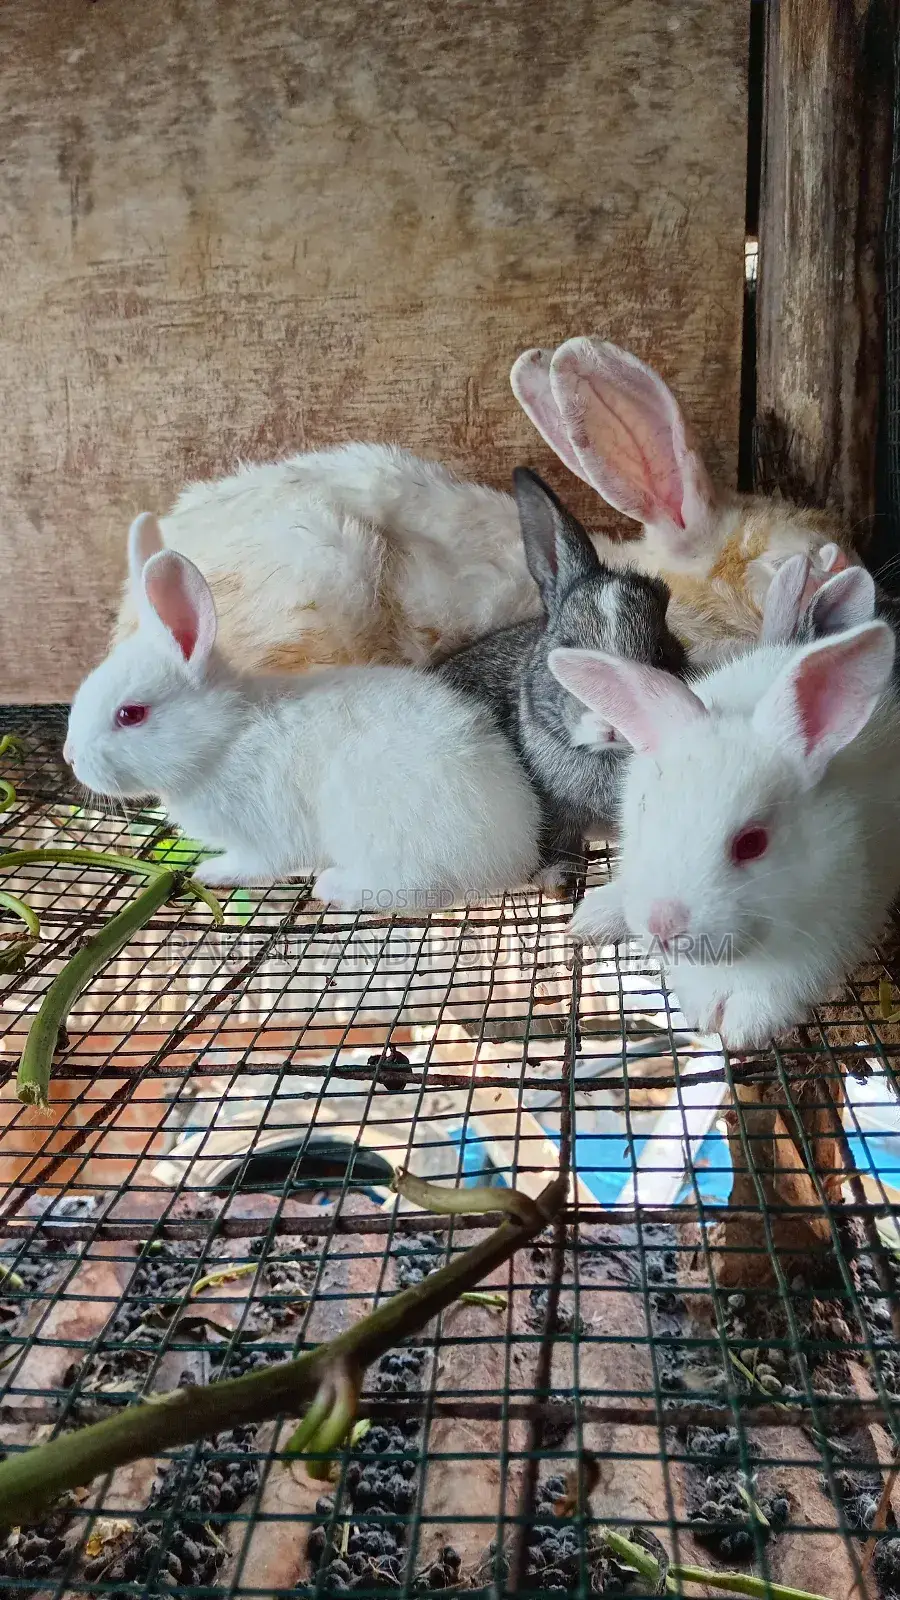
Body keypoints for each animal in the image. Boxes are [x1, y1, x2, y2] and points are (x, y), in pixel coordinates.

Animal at [66, 515, 543, 910]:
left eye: (130, 714)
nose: (71, 757)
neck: (221, 743)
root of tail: (513, 852)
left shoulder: (262, 839)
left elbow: (255, 865)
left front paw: (210, 872)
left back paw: (333, 886)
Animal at [548, 615, 900, 1053]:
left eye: (752, 843)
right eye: (647, 811)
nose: (662, 925)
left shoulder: (831, 932)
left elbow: (781, 983)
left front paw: (743, 1026)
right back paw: (593, 917)